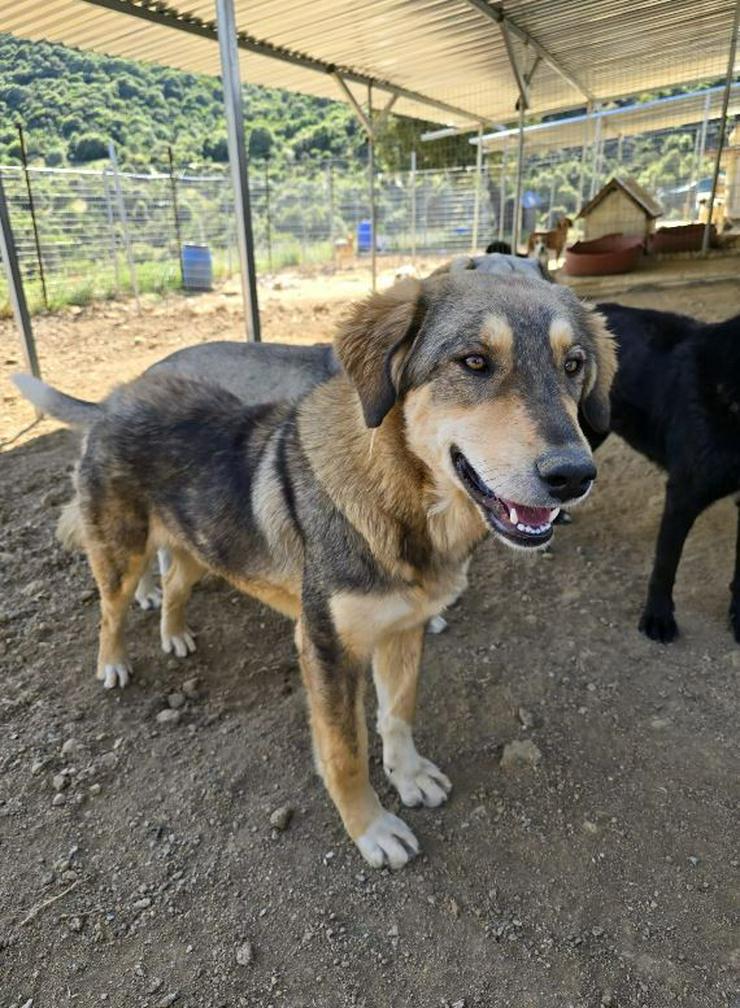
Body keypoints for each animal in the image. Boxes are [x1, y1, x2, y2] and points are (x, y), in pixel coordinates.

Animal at [14, 272, 617, 870]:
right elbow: (345, 751)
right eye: (473, 362)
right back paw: (114, 662)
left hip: (199, 544)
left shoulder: (403, 629)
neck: (401, 500)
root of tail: (113, 398)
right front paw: (371, 828)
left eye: (573, 365)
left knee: (175, 584)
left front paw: (409, 776)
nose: (573, 475)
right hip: (120, 549)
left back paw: (175, 632)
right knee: (111, 610)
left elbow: (397, 714)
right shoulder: (326, 646)